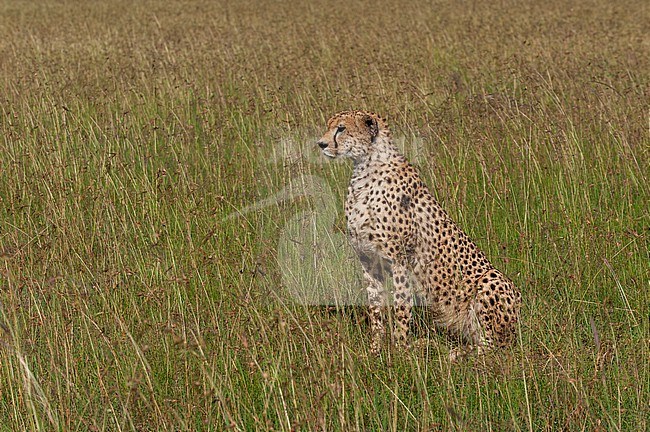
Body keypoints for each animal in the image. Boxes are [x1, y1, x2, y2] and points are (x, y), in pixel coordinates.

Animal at [316, 110, 520, 358]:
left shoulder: (400, 260)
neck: (365, 169)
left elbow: (401, 307)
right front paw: (375, 349)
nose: (321, 144)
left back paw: (451, 352)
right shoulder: (368, 261)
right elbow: (375, 308)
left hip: (491, 280)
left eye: (341, 128)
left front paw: (400, 351)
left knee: (491, 349)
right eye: (330, 126)